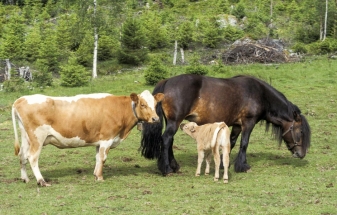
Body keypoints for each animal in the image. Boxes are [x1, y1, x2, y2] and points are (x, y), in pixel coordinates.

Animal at [12, 90, 165, 186]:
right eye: (143, 104)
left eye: (155, 104)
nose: (155, 118)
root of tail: (21, 99)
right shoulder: (106, 139)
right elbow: (103, 158)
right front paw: (100, 177)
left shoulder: (99, 142)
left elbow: (97, 158)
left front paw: (96, 175)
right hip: (37, 137)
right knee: (32, 157)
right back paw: (41, 181)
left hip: (26, 137)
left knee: (22, 155)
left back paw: (25, 179)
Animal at [139, 74, 310, 175]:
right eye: (301, 132)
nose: (301, 154)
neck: (260, 94)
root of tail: (167, 81)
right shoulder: (248, 123)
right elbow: (244, 144)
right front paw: (243, 166)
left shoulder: (237, 125)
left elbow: (232, 143)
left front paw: (222, 164)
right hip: (175, 122)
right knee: (166, 139)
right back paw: (167, 168)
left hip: (172, 122)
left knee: (169, 141)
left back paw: (174, 166)